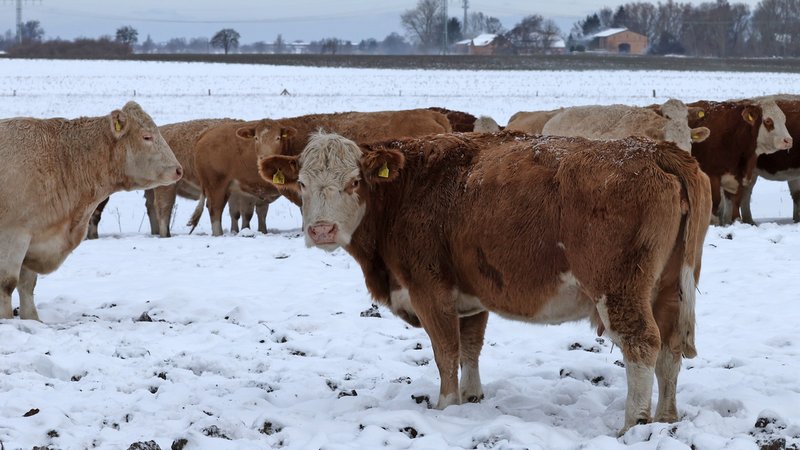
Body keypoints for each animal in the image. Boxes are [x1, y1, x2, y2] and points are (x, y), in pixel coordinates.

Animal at [0, 101, 182, 320]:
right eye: (147, 137)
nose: (179, 170)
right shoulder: (14, 234)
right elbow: (7, 283)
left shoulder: (36, 238)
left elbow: (27, 285)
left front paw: (32, 320)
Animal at [257, 130, 711, 434]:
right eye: (301, 183)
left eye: (355, 182)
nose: (322, 230)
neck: (407, 188)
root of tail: (653, 150)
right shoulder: (471, 296)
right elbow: (470, 347)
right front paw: (473, 398)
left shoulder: (429, 291)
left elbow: (446, 352)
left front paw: (446, 405)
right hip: (669, 287)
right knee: (670, 349)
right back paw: (666, 418)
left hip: (619, 289)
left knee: (642, 344)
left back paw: (634, 423)